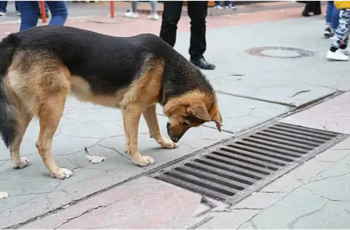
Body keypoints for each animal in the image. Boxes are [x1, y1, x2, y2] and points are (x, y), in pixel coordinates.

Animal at [0, 25, 223, 180]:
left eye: (190, 124)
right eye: (185, 120)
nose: (175, 139)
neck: (168, 67)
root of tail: (16, 38)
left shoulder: (147, 107)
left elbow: (155, 129)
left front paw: (165, 144)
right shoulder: (132, 109)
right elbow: (133, 140)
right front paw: (138, 159)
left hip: (25, 110)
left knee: (15, 139)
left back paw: (18, 162)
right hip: (53, 106)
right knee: (42, 144)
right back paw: (56, 172)